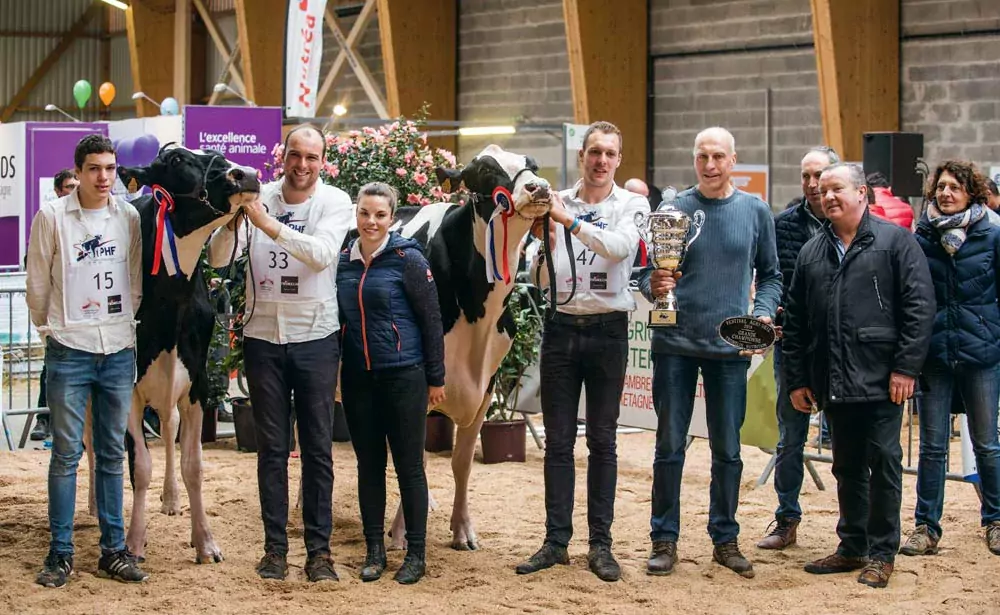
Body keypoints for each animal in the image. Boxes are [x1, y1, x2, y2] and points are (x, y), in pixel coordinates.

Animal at [103, 148, 260, 564]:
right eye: (175, 160)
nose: (246, 175)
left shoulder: (196, 385)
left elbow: (194, 466)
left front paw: (205, 541)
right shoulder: (127, 388)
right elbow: (139, 468)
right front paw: (133, 542)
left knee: (169, 425)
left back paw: (171, 499)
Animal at [382, 144, 556, 548]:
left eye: (533, 165)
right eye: (485, 171)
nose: (538, 187)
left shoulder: (486, 385)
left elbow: (461, 462)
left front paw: (462, 529)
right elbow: (416, 458)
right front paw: (400, 531)